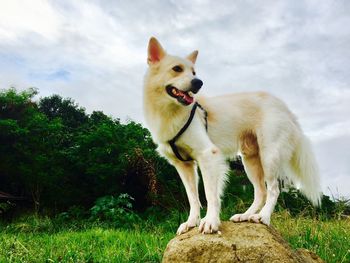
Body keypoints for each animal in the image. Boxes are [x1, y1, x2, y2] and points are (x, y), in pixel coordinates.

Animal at [142, 36, 320, 235]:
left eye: (194, 72)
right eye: (177, 69)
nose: (198, 83)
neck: (170, 112)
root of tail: (285, 108)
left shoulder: (208, 155)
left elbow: (210, 195)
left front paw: (210, 221)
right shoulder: (184, 165)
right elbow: (193, 198)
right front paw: (191, 222)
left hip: (269, 156)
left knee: (273, 190)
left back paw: (263, 217)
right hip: (250, 160)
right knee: (261, 192)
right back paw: (245, 216)